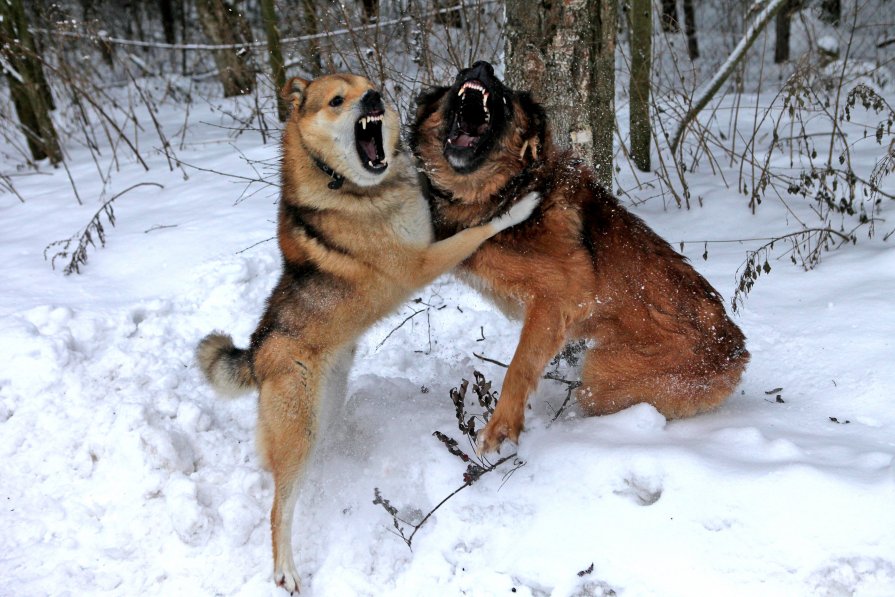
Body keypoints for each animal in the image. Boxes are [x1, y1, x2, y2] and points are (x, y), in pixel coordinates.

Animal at [200, 73, 536, 592]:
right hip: (298, 427)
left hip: (324, 407)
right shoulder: (421, 260)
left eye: (368, 85)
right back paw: (286, 571)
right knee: (279, 508)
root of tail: (256, 353)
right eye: (338, 100)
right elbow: (477, 230)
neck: (360, 188)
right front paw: (517, 208)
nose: (375, 98)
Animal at [412, 60, 748, 452]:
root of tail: (736, 351)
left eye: (506, 95)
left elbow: (519, 367)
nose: (481, 67)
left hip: (605, 375)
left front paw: (501, 429)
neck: (506, 189)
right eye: (458, 77)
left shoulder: (558, 296)